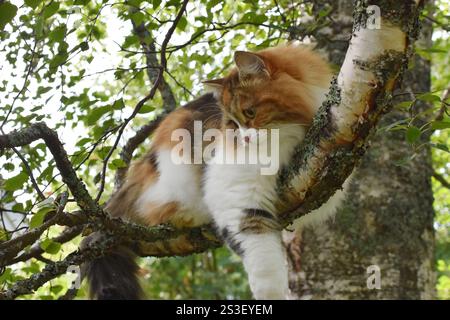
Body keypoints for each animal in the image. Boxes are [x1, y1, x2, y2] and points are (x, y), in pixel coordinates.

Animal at [83, 44, 348, 300]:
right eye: (231, 123)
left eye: (250, 113)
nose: (245, 139)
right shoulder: (233, 189)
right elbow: (260, 252)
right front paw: (270, 292)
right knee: (156, 209)